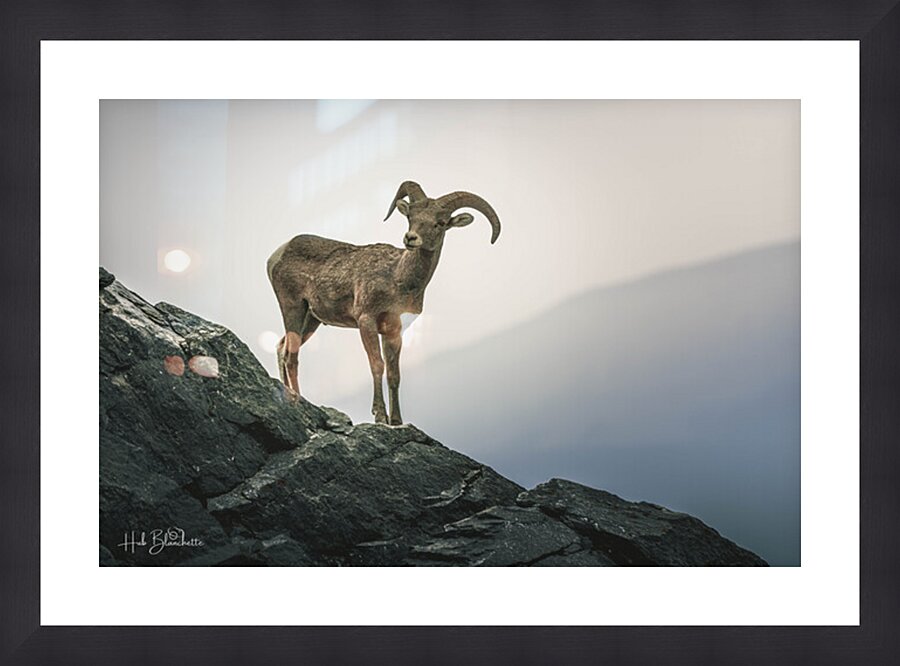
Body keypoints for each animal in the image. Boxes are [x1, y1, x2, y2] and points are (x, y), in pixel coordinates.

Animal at [266, 181, 501, 425]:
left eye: (441, 223)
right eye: (411, 216)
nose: (411, 238)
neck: (397, 278)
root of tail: (276, 255)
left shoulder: (394, 332)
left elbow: (394, 374)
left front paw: (395, 421)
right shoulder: (366, 321)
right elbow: (377, 365)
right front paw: (380, 415)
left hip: (311, 319)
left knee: (282, 346)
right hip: (292, 306)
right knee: (291, 356)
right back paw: (297, 398)